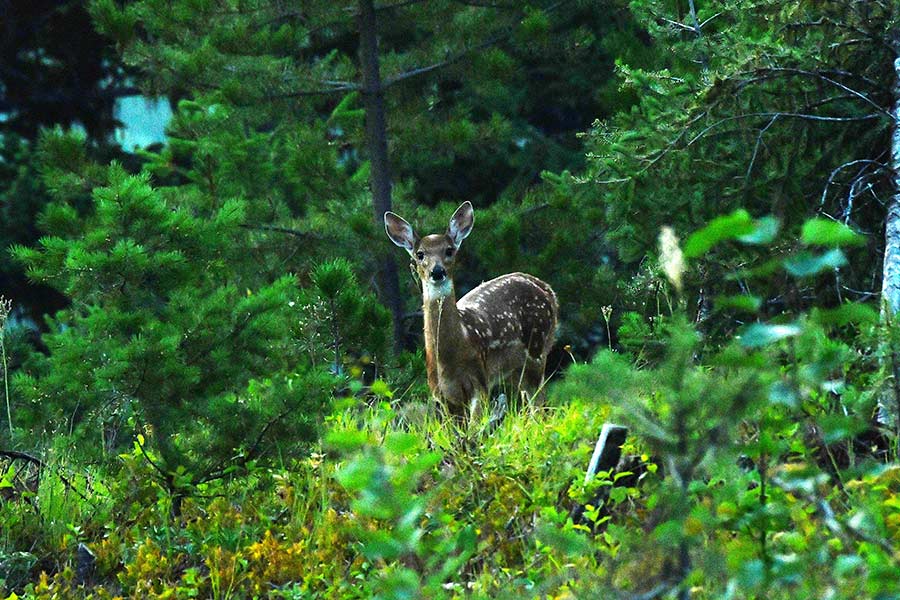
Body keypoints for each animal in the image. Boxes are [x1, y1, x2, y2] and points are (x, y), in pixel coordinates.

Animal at [384, 201, 558, 421]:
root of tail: (548, 290)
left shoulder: (479, 380)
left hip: (537, 349)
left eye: (449, 250)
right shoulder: (441, 394)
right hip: (517, 370)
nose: (437, 271)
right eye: (420, 254)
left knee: (540, 403)